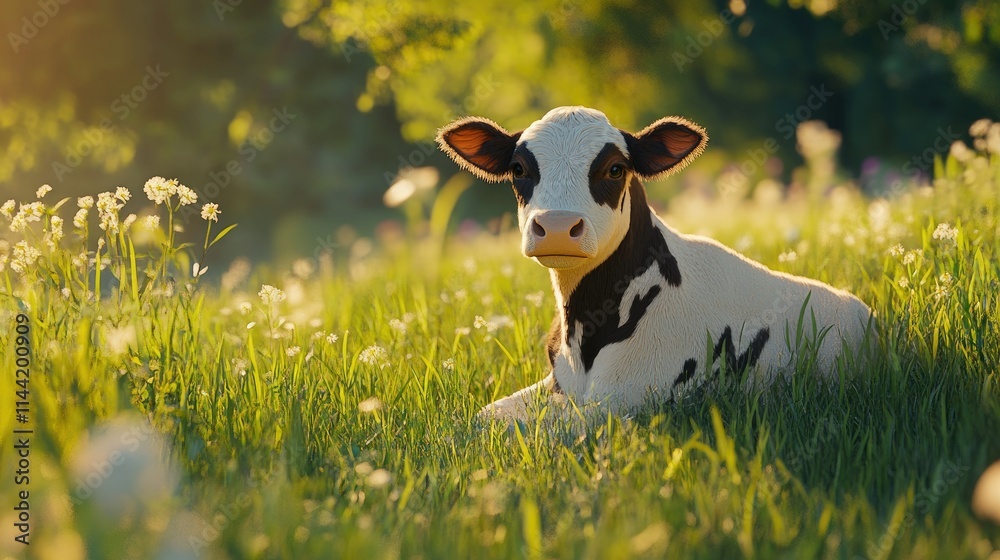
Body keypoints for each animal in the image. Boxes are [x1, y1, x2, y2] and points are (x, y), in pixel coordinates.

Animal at [436, 106, 873, 422]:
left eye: (615, 169)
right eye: (519, 169)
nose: (558, 226)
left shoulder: (624, 399)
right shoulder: (556, 384)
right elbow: (482, 419)